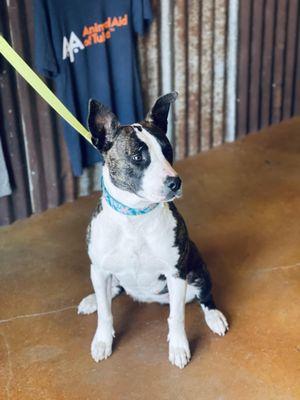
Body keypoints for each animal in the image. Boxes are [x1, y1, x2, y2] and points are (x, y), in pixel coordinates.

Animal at [78, 92, 229, 368]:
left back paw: (214, 317)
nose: (175, 182)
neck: (135, 217)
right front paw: (103, 341)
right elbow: (106, 313)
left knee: (205, 297)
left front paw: (178, 347)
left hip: (197, 269)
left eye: (167, 151)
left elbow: (177, 317)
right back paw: (93, 299)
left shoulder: (176, 274)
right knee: (112, 290)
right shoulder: (100, 269)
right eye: (138, 157)